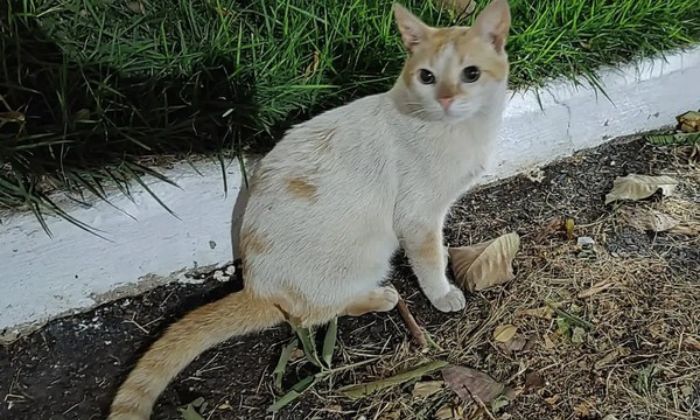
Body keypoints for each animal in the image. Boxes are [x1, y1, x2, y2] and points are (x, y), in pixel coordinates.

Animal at [112, 1, 512, 418]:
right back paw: (380, 297)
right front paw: (442, 292)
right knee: (313, 313)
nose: (446, 99)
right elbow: (429, 261)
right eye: (427, 76)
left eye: (470, 74)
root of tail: (257, 288)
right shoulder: (417, 217)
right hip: (369, 255)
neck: (456, 129)